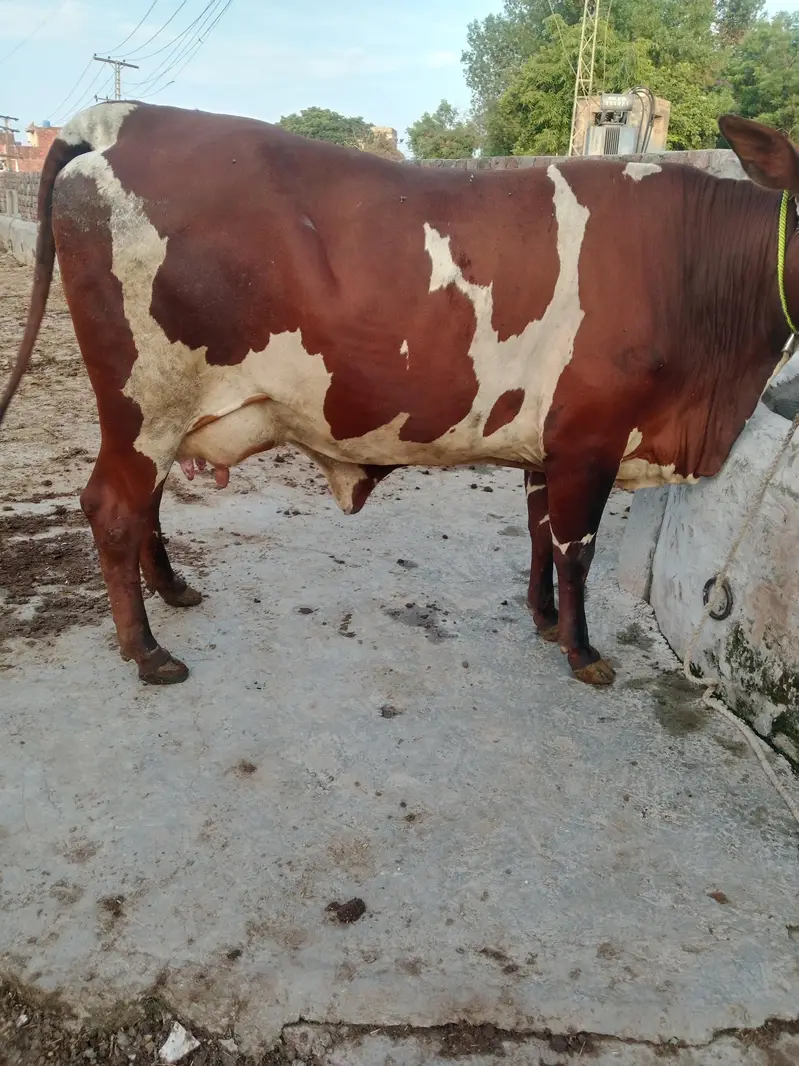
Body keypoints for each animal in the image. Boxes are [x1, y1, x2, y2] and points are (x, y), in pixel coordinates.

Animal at [1, 102, 797, 687]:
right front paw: (583, 652)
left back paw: (173, 591)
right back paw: (147, 651)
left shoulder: (549, 445)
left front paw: (542, 620)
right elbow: (575, 551)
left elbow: (539, 535)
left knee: (147, 504)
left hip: (165, 411)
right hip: (143, 404)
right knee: (113, 508)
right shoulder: (590, 439)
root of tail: (122, 118)